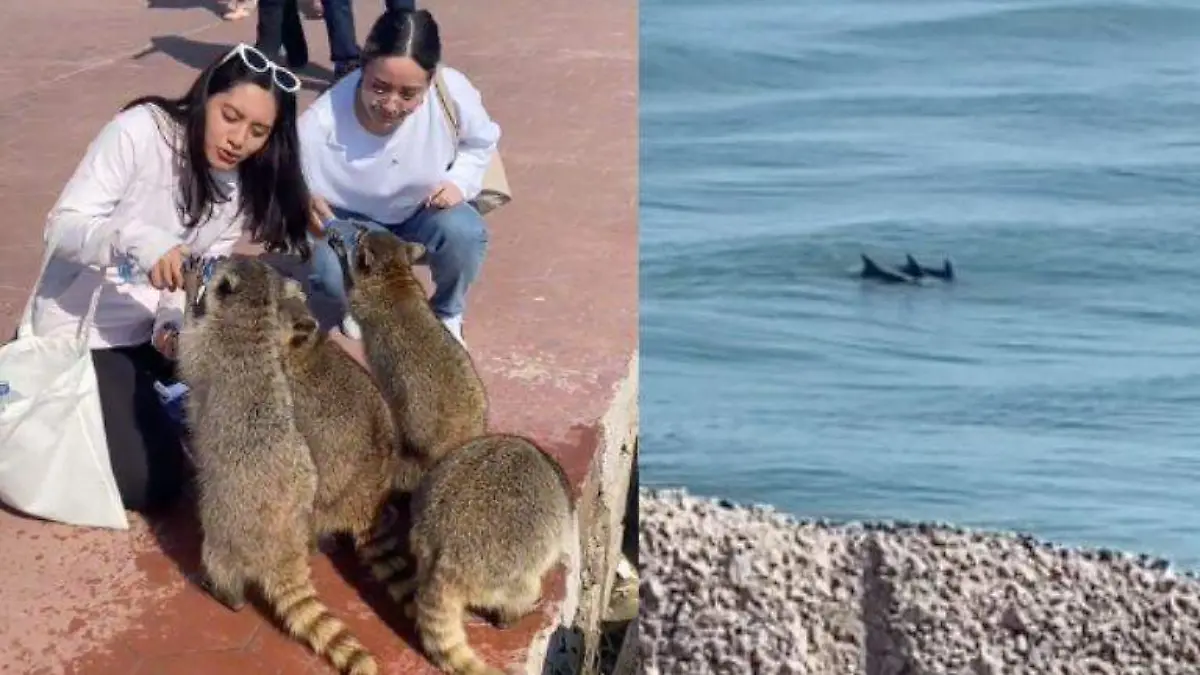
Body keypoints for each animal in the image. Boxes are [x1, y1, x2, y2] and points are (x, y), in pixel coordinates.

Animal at [175, 255, 374, 672]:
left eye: (223, 264)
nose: (218, 257)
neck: (251, 319)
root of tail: (283, 546)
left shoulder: (209, 348)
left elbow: (186, 353)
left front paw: (190, 293)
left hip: (227, 527)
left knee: (220, 559)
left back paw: (225, 593)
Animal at [328, 228, 487, 470]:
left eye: (361, 239)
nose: (362, 228)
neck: (394, 273)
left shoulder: (363, 297)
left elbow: (350, 285)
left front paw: (342, 254)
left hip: (416, 419)